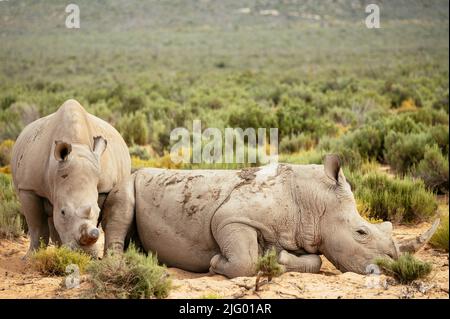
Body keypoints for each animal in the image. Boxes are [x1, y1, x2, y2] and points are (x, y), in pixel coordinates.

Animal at [11, 100, 130, 258]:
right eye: (63, 212)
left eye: (98, 211)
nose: (83, 253)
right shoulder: (28, 187)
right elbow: (36, 226)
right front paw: (31, 257)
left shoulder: (104, 188)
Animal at [102, 156, 440, 278]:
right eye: (362, 233)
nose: (391, 266)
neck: (314, 202)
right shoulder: (231, 218)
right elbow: (244, 260)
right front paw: (215, 264)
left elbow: (315, 261)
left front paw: (277, 258)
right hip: (128, 180)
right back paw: (123, 263)